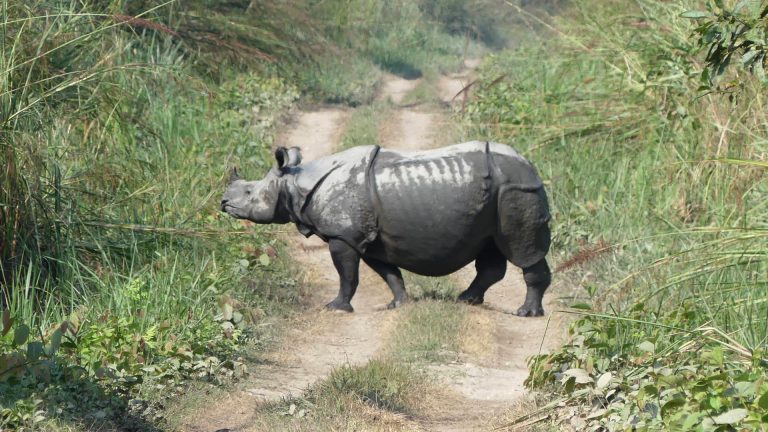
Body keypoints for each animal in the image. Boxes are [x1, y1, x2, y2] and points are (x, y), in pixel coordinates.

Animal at [221, 141, 551, 317]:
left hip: (517, 190)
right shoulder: (369, 238)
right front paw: (398, 303)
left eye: (249, 193)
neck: (294, 182)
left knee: (522, 250)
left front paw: (336, 308)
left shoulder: (343, 235)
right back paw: (467, 300)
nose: (224, 202)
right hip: (499, 197)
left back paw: (526, 313)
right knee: (491, 250)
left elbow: (347, 275)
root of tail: (532, 167)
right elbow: (388, 273)